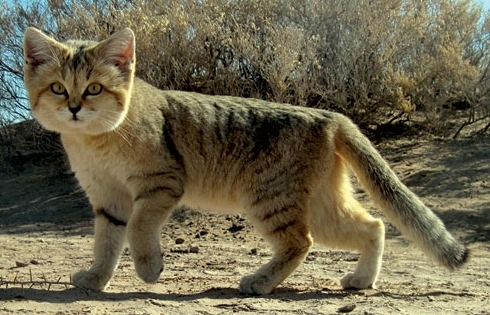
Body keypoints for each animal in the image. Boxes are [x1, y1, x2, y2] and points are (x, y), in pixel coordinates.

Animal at [22, 27, 468, 296]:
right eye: (58, 88)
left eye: (94, 88)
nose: (75, 108)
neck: (94, 140)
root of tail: (332, 116)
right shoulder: (108, 199)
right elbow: (106, 241)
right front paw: (95, 279)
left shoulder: (160, 183)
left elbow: (138, 228)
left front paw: (149, 268)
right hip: (322, 207)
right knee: (374, 226)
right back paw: (361, 280)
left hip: (269, 199)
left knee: (301, 241)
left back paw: (260, 281)